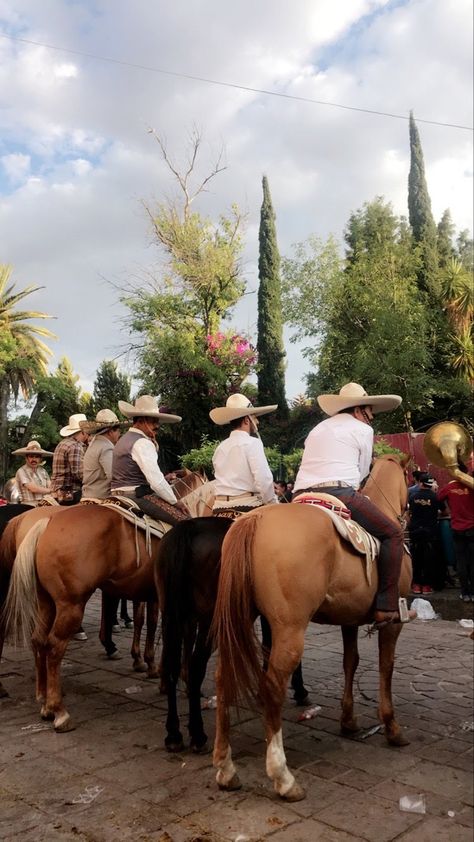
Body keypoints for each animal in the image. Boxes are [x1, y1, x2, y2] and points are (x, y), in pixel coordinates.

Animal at [0, 466, 206, 728]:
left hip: (45, 600)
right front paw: (161, 670)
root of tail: (45, 522)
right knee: (54, 646)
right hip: (71, 604)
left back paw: (44, 701)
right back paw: (58, 711)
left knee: (39, 640)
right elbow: (159, 628)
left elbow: (148, 624)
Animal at [156, 516, 310, 752]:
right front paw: (298, 689)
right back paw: (197, 733)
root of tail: (189, 528)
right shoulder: (286, 611)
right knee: (195, 667)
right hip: (210, 619)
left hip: (171, 615)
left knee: (172, 665)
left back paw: (173, 734)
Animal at [213, 456, 412, 796]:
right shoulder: (392, 623)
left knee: (223, 678)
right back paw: (283, 777)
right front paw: (392, 727)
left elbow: (350, 662)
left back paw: (226, 770)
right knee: (272, 686)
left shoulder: (349, 619)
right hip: (290, 630)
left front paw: (348, 721)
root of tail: (255, 519)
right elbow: (386, 667)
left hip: (237, 620)